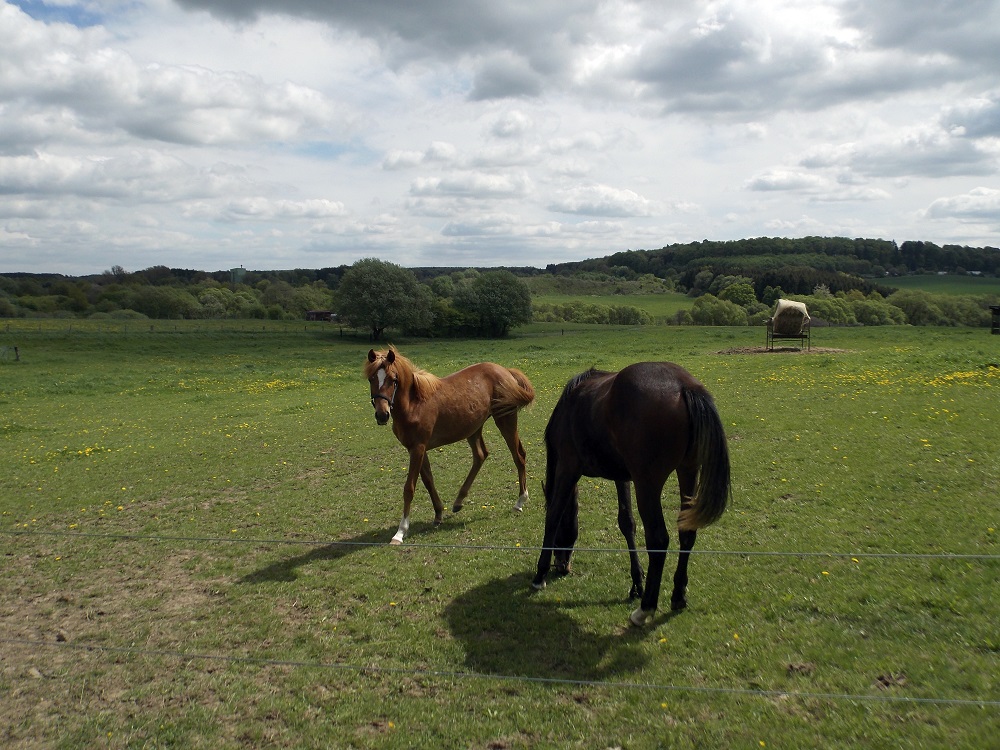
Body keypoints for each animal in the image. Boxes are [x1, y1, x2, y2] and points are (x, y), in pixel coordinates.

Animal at [364, 346, 536, 548]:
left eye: (393, 379)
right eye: (371, 378)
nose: (382, 415)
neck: (414, 404)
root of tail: (506, 371)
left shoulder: (418, 448)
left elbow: (409, 488)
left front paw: (400, 532)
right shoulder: (418, 448)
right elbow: (428, 481)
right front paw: (438, 513)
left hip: (505, 419)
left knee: (518, 455)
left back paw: (520, 501)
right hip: (473, 428)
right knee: (481, 455)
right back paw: (459, 501)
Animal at [532, 364, 736, 628]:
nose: (562, 566)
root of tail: (684, 386)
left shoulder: (568, 468)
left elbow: (554, 515)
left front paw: (540, 574)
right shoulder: (622, 477)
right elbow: (626, 523)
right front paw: (637, 582)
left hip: (648, 484)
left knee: (658, 540)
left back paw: (646, 608)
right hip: (688, 471)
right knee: (687, 532)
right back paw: (678, 596)